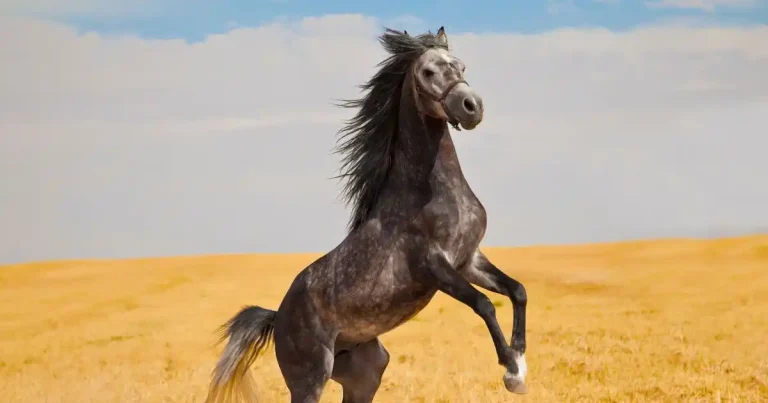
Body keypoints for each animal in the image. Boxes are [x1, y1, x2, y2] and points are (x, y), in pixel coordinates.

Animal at [205, 26, 529, 403]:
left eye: (461, 66)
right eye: (428, 72)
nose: (472, 107)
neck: (431, 190)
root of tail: (277, 317)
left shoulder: (469, 260)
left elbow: (517, 291)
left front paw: (520, 362)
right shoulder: (434, 266)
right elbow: (484, 303)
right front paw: (510, 370)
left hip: (365, 373)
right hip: (310, 378)